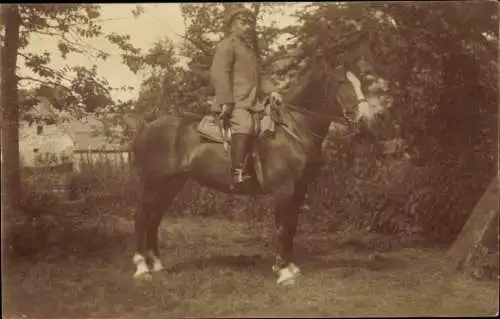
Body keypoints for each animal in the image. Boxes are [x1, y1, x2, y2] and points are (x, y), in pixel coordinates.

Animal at [127, 31, 396, 284]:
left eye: (361, 82)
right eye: (341, 83)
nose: (366, 122)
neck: (293, 129)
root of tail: (147, 127)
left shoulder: (299, 189)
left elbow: (291, 226)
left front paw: (288, 266)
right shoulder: (284, 189)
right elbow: (283, 227)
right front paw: (284, 273)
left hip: (171, 185)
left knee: (154, 218)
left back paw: (157, 264)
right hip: (153, 183)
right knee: (141, 216)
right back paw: (142, 268)